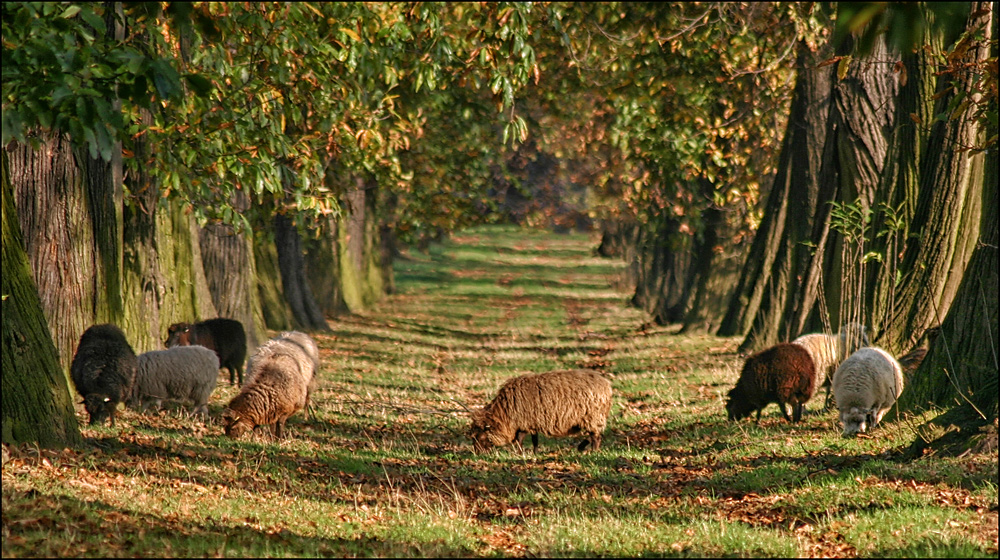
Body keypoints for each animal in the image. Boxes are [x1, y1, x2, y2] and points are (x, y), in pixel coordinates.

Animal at [466, 368, 608, 456]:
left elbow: (519, 439)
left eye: (478, 436)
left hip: (593, 417)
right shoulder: (532, 422)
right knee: (596, 435)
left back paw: (593, 452)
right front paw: (534, 453)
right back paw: (582, 447)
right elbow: (534, 440)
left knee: (596, 437)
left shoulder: (523, 422)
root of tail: (606, 384)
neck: (505, 413)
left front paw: (520, 453)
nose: (477, 454)